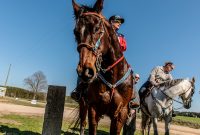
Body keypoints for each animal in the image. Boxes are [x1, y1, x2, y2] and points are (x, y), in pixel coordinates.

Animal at [72, 0, 136, 134]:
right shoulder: (93, 108)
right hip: (83, 104)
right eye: (75, 32)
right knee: (82, 123)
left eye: (97, 28)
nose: (85, 71)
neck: (113, 76)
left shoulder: (121, 113)